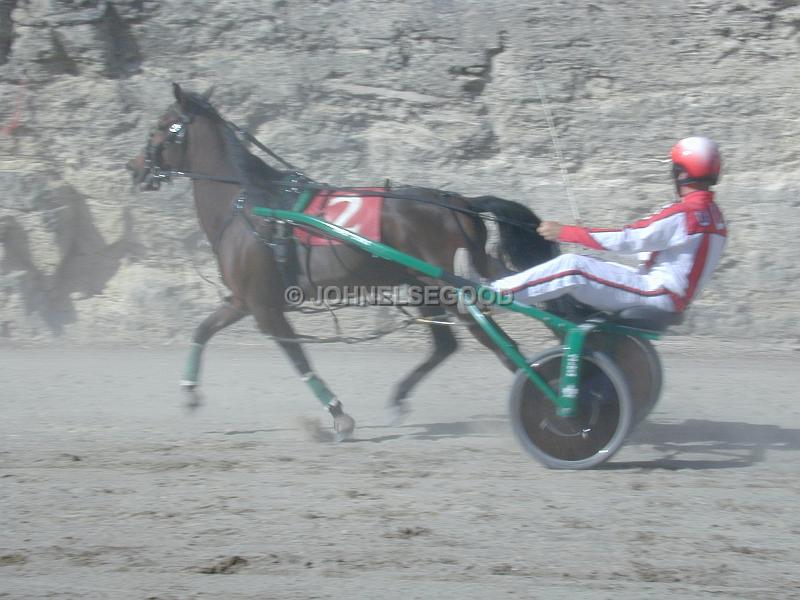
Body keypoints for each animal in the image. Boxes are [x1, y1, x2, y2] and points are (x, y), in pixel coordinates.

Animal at [128, 83, 560, 440]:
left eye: (161, 125)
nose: (134, 168)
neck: (248, 204)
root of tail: (459, 201)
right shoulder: (241, 300)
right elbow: (202, 331)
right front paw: (189, 394)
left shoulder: (265, 308)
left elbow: (298, 358)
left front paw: (338, 415)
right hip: (431, 282)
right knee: (451, 343)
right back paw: (401, 397)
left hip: (449, 287)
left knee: (500, 345)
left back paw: (551, 400)